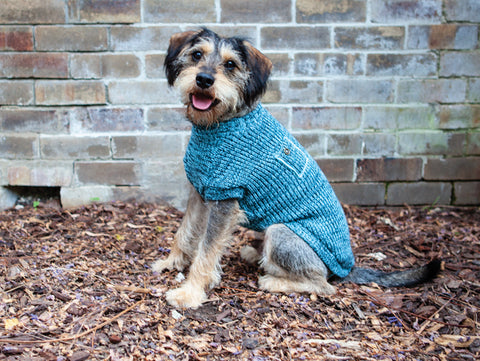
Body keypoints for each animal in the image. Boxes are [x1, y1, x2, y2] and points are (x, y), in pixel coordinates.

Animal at [152, 28, 440, 310]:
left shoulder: (225, 198)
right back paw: (253, 254)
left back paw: (272, 280)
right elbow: (185, 231)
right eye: (196, 55)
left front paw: (189, 293)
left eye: (230, 64)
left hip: (281, 232)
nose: (203, 79)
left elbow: (206, 250)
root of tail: (346, 269)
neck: (222, 123)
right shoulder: (201, 192)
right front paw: (171, 263)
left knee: (323, 285)